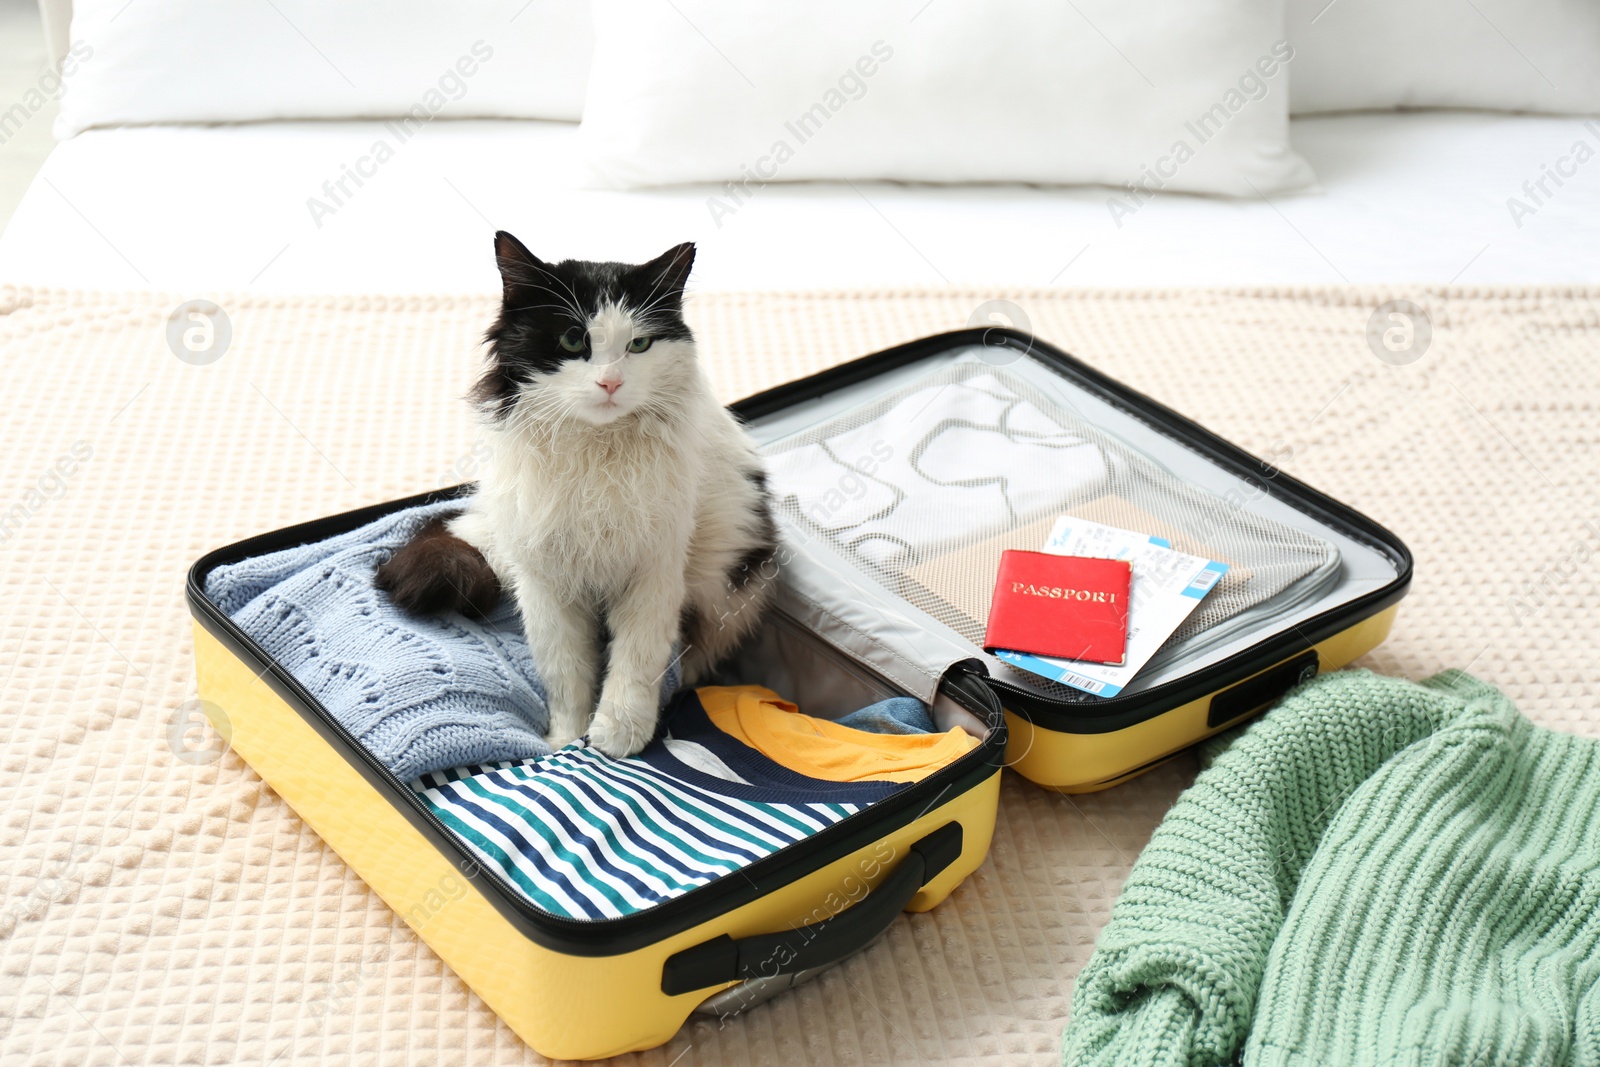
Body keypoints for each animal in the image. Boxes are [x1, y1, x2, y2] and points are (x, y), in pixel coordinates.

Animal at [374, 230, 774, 755]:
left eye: (639, 344)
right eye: (572, 339)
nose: (610, 382)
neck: (594, 458)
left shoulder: (655, 570)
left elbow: (635, 663)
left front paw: (616, 738)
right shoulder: (546, 581)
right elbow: (566, 673)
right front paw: (565, 740)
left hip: (722, 586)